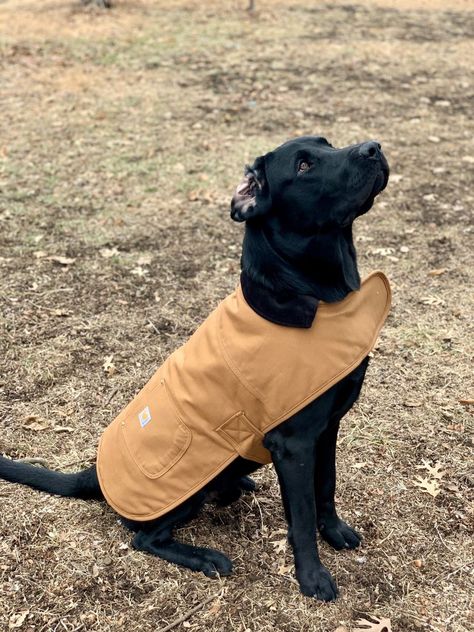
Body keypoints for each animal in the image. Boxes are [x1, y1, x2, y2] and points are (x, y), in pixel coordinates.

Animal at [0, 136, 388, 600]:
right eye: (304, 165)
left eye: (326, 143)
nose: (373, 147)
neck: (312, 295)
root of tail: (94, 476)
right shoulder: (294, 443)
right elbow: (303, 515)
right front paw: (312, 577)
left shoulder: (327, 427)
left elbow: (326, 487)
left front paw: (336, 532)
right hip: (184, 492)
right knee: (144, 538)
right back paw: (206, 558)